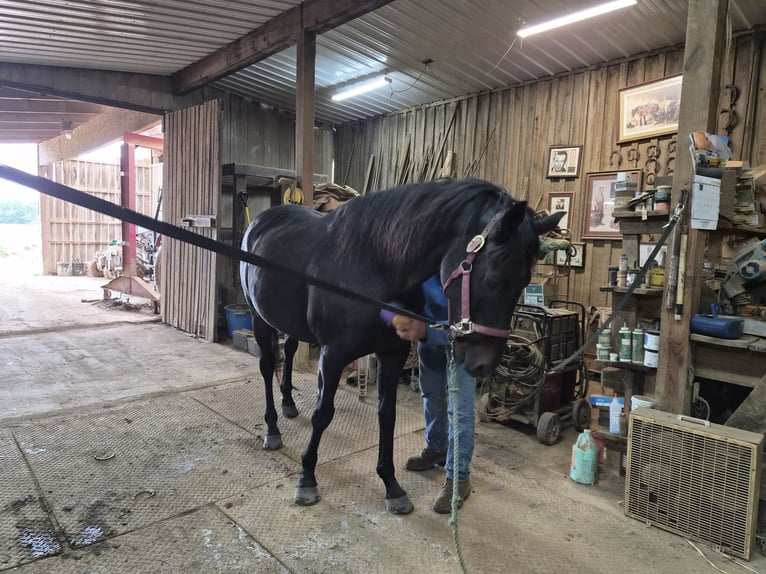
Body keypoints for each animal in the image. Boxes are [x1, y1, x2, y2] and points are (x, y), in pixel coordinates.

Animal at [240, 178, 563, 514]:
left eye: (524, 281)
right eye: (493, 279)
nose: (483, 363)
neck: (371, 265)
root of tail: (262, 221)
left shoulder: (392, 354)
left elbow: (387, 415)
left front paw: (391, 485)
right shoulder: (332, 356)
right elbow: (322, 414)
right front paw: (306, 479)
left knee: (289, 352)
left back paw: (289, 404)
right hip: (259, 318)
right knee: (267, 367)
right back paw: (272, 430)